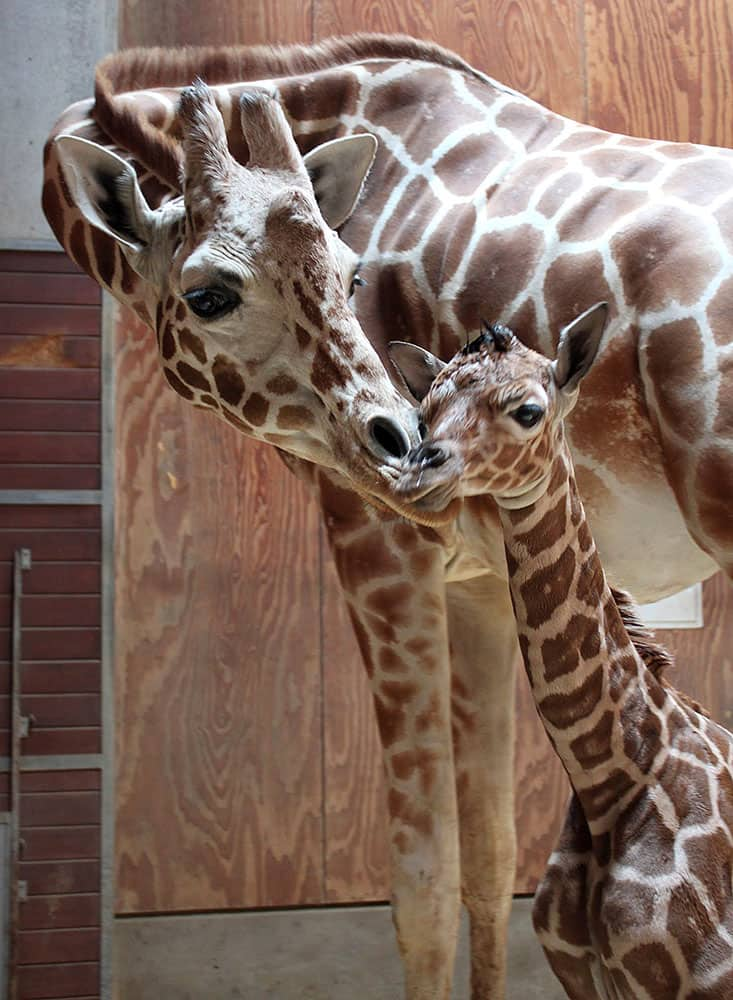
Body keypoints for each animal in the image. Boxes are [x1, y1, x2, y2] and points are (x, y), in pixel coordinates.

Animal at [392, 304, 732, 1000]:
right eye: (425, 414)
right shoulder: (581, 973)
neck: (611, 780)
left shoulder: (703, 980)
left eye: (528, 410)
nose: (417, 471)